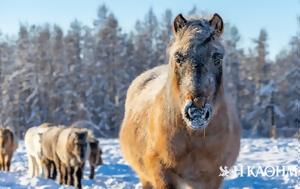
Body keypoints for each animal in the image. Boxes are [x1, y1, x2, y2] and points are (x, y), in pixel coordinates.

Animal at [120, 13, 240, 189]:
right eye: (178, 58)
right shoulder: (162, 174)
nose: (197, 111)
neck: (193, 137)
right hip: (145, 177)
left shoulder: (211, 178)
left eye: (218, 58)